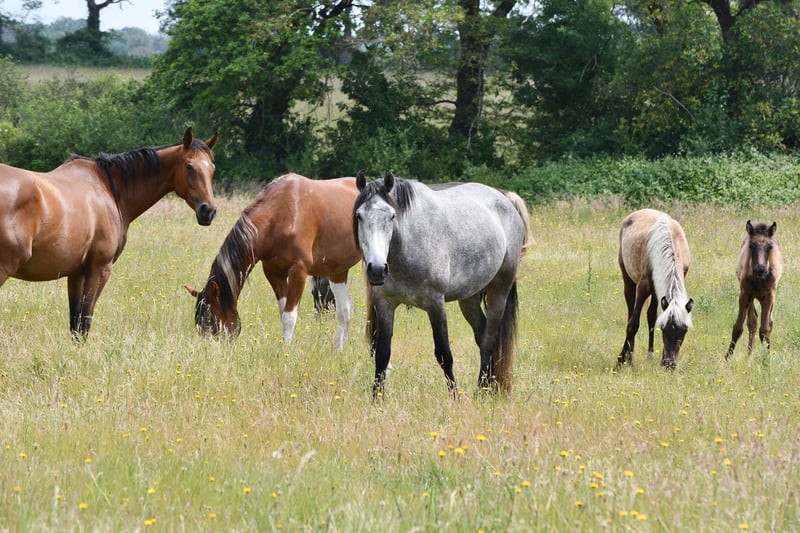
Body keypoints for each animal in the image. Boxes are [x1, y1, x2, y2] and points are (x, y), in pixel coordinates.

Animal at [0, 127, 218, 338]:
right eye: (189, 166)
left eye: (212, 168)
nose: (209, 211)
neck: (108, 188)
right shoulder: (100, 269)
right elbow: (84, 321)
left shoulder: (77, 272)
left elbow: (75, 323)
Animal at [185, 173, 361, 350]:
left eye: (210, 319)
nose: (208, 348)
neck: (281, 216)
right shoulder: (273, 272)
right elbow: (283, 311)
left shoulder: (299, 271)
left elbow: (289, 316)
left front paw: (286, 350)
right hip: (338, 271)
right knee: (344, 310)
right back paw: (338, 349)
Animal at [353, 171, 532, 397]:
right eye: (359, 216)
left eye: (392, 216)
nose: (377, 269)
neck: (406, 247)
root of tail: (505, 198)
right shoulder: (385, 303)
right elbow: (382, 354)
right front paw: (377, 398)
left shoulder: (435, 303)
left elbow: (444, 355)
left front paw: (454, 398)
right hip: (469, 299)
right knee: (482, 335)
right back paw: (489, 387)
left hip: (499, 290)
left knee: (489, 341)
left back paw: (481, 391)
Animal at [617, 208, 693, 370]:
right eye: (664, 329)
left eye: (684, 330)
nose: (669, 364)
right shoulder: (643, 286)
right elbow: (633, 324)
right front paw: (620, 360)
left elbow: (653, 318)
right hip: (628, 279)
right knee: (630, 313)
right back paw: (630, 356)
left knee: (651, 315)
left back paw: (650, 355)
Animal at [725, 221, 783, 359]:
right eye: (751, 245)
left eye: (770, 246)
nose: (760, 269)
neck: (758, 280)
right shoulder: (745, 295)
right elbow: (738, 327)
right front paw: (727, 357)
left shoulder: (769, 297)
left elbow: (765, 329)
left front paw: (767, 358)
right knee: (752, 322)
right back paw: (749, 354)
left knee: (769, 322)